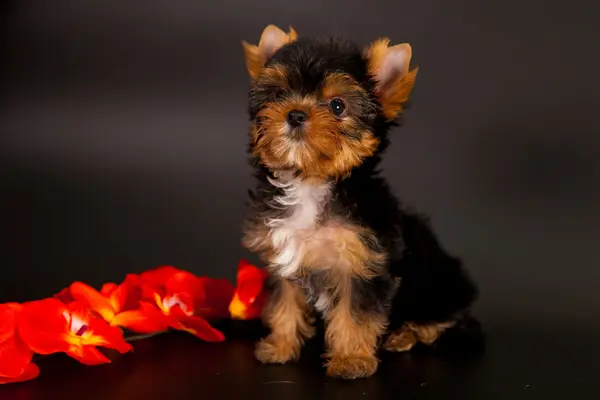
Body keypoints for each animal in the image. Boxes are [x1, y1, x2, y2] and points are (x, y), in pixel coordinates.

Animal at [239, 23, 478, 380]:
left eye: (338, 106)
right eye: (279, 94)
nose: (295, 114)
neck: (311, 182)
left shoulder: (364, 263)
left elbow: (356, 313)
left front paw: (351, 359)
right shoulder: (284, 255)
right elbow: (284, 300)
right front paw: (280, 346)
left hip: (442, 283)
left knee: (446, 319)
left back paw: (405, 334)